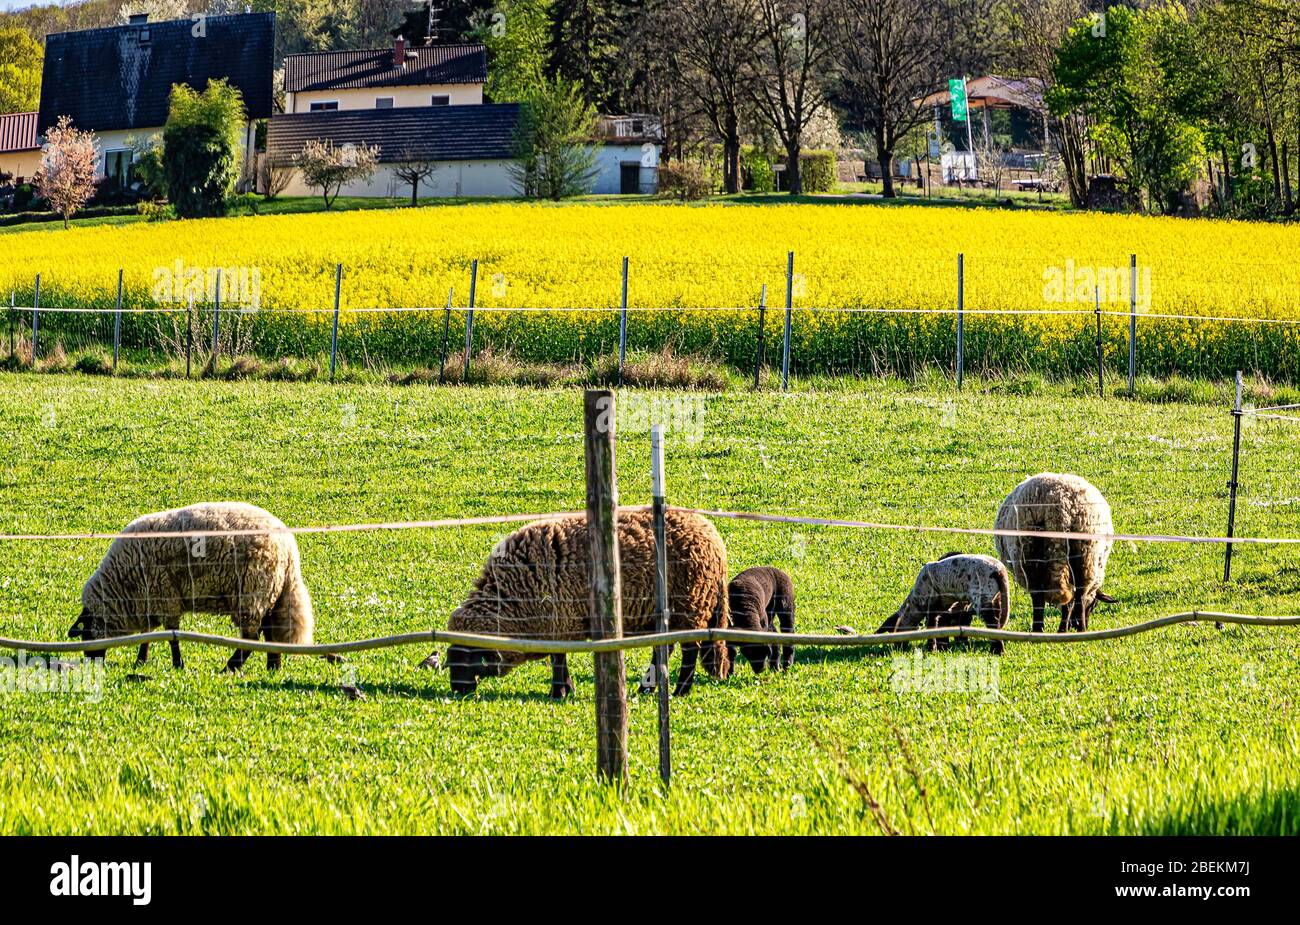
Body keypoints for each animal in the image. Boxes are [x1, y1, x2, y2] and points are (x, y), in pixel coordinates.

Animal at [439, 509, 733, 696]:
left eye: (466, 656)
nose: (459, 690)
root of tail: (713, 538)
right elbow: (559, 658)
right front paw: (565, 689)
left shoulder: (559, 621)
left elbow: (558, 660)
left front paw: (559, 691)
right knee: (666, 648)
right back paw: (647, 688)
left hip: (691, 604)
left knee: (689, 651)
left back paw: (681, 690)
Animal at [878, 553, 1008, 654]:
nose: (897, 649)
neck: (915, 603)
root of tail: (998, 570)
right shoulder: (942, 607)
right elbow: (941, 625)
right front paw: (939, 647)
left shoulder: (931, 604)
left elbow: (931, 626)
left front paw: (932, 649)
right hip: (995, 598)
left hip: (981, 595)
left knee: (992, 622)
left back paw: (997, 651)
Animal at [993, 472, 1118, 631]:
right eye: (1094, 605)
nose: (1074, 625)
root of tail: (1061, 509)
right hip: (1084, 555)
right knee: (1078, 597)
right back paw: (1075, 629)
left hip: (1029, 554)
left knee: (1042, 598)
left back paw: (1047, 629)